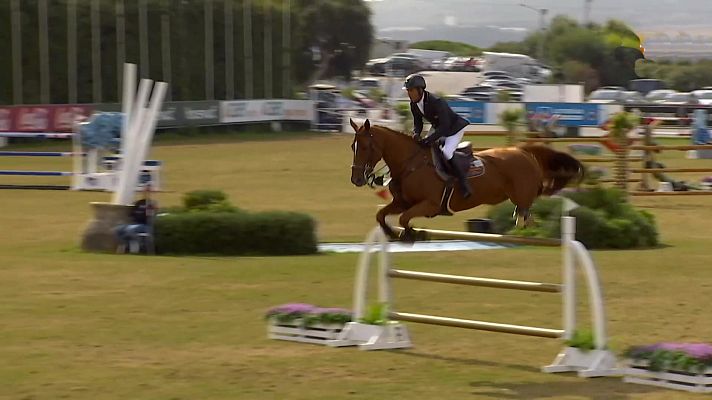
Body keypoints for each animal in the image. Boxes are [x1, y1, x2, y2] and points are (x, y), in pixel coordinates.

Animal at [350, 117, 584, 239]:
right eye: (353, 146)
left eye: (365, 147)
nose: (356, 179)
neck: (410, 164)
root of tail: (524, 151)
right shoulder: (402, 202)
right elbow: (382, 215)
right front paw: (391, 233)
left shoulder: (429, 204)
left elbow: (404, 219)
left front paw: (413, 234)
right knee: (525, 216)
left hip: (522, 196)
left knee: (527, 215)